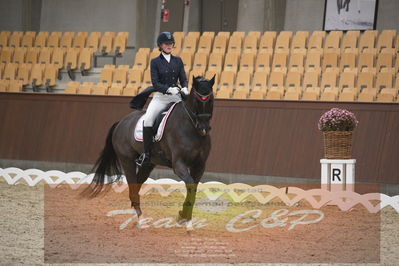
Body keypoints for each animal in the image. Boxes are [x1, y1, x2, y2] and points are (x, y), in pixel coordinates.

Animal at [82, 76, 216, 230]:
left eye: (211, 100)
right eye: (196, 101)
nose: (204, 128)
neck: (191, 128)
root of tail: (121, 122)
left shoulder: (199, 166)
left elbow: (193, 189)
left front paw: (184, 217)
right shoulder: (178, 165)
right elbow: (190, 185)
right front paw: (183, 217)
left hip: (148, 164)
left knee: (136, 187)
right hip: (127, 160)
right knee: (133, 189)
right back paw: (141, 220)